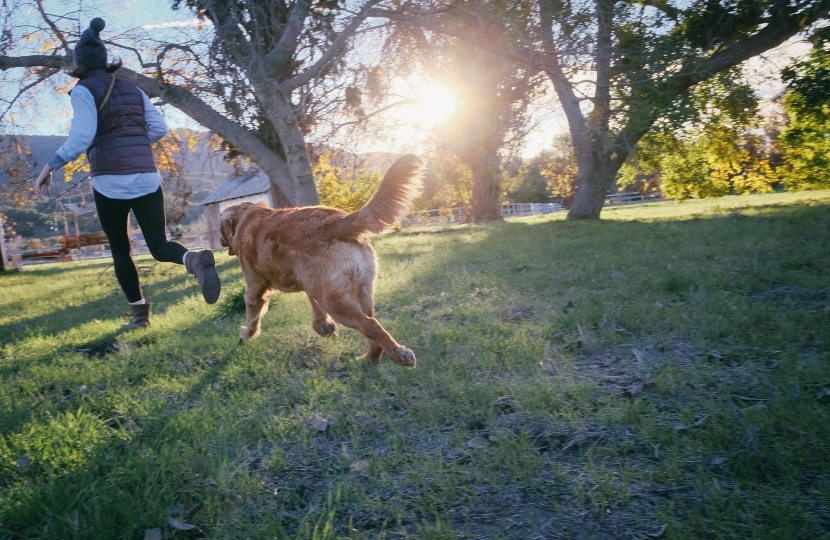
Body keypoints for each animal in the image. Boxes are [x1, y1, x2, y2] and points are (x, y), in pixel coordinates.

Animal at [219, 154, 422, 370]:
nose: (221, 242)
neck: (246, 218)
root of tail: (336, 222)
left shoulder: (255, 286)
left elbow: (252, 314)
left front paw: (247, 333)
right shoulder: (309, 281)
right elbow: (313, 302)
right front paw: (324, 325)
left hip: (336, 302)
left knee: (370, 325)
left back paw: (398, 354)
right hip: (359, 292)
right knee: (372, 327)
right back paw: (369, 358)